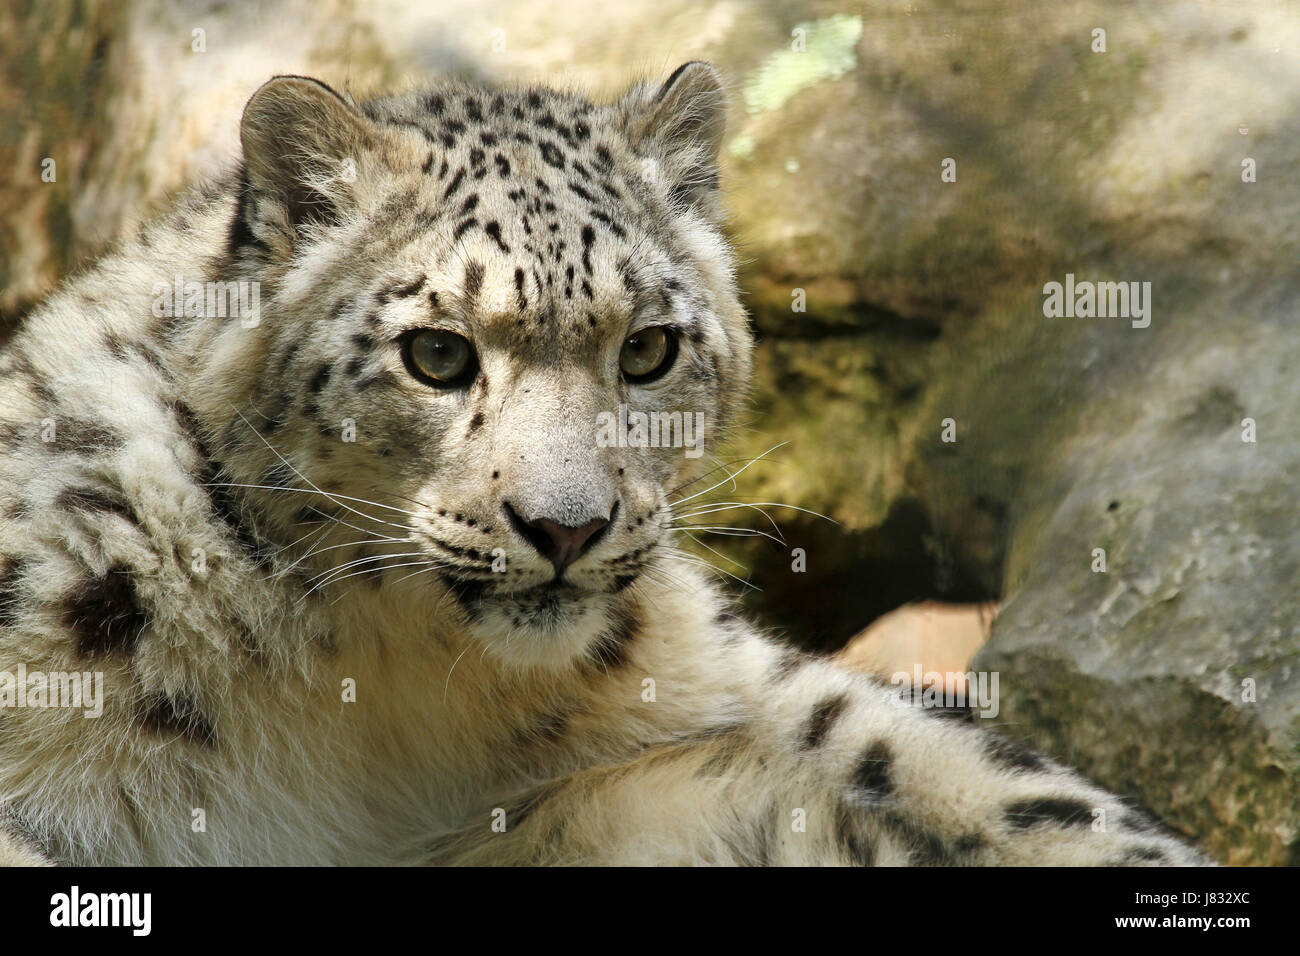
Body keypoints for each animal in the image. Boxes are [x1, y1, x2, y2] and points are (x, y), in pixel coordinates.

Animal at [0, 63, 1206, 863]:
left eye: (648, 348)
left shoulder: (723, 669)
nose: (566, 527)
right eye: (438, 353)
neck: (397, 690)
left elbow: (974, 767)